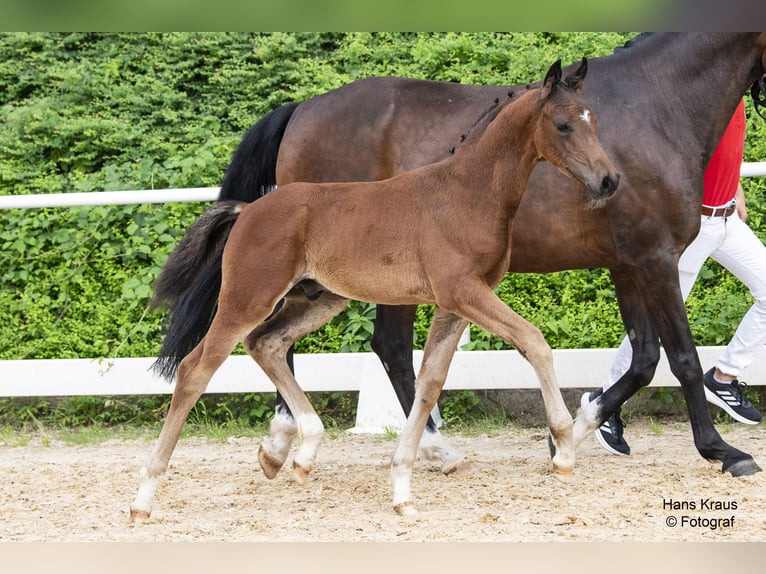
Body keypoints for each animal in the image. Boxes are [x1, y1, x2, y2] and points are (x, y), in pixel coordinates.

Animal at [132, 59, 620, 520]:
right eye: (562, 124)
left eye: (594, 119)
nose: (609, 180)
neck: (468, 192)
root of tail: (247, 209)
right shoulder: (464, 291)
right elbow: (534, 342)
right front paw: (563, 449)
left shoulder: (454, 304)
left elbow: (430, 380)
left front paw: (403, 487)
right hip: (246, 299)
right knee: (196, 369)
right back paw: (144, 498)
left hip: (318, 298)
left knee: (266, 343)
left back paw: (301, 452)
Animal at [154, 31, 766, 482]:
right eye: (563, 125)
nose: (608, 181)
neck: (660, 102)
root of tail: (302, 106)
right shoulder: (653, 258)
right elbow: (679, 357)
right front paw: (723, 451)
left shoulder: (627, 264)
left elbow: (642, 358)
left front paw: (577, 429)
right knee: (358, 346)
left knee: (314, 344)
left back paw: (297, 445)